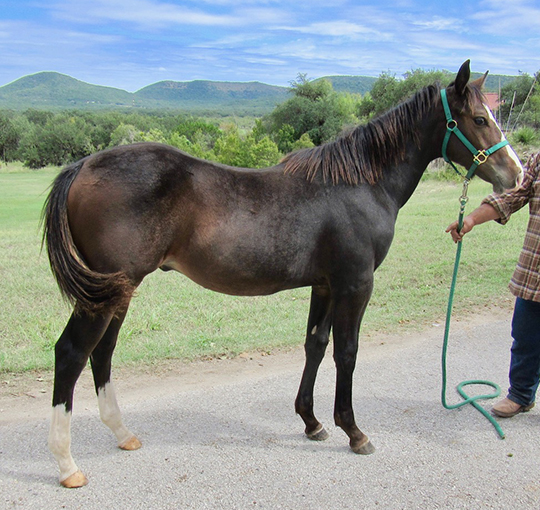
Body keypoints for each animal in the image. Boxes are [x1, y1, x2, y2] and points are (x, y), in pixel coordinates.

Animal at [44, 61, 524, 488]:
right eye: (480, 119)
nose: (517, 174)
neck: (361, 184)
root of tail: (83, 166)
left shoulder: (325, 285)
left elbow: (315, 345)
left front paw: (312, 422)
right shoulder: (355, 284)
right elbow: (347, 352)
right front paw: (354, 432)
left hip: (118, 291)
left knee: (102, 354)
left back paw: (122, 434)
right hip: (102, 295)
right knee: (71, 354)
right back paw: (67, 466)